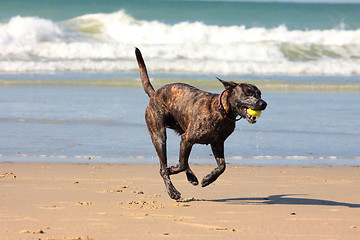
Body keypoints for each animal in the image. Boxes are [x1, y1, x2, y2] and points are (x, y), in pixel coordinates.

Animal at [135, 47, 268, 200]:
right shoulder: (187, 139)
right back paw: (172, 190)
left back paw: (191, 177)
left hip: (181, 129)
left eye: (259, 94)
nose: (263, 104)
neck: (222, 111)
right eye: (247, 93)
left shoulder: (217, 143)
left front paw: (208, 179)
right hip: (159, 136)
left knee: (183, 160)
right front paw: (172, 170)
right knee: (164, 167)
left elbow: (222, 166)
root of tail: (154, 94)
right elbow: (180, 164)